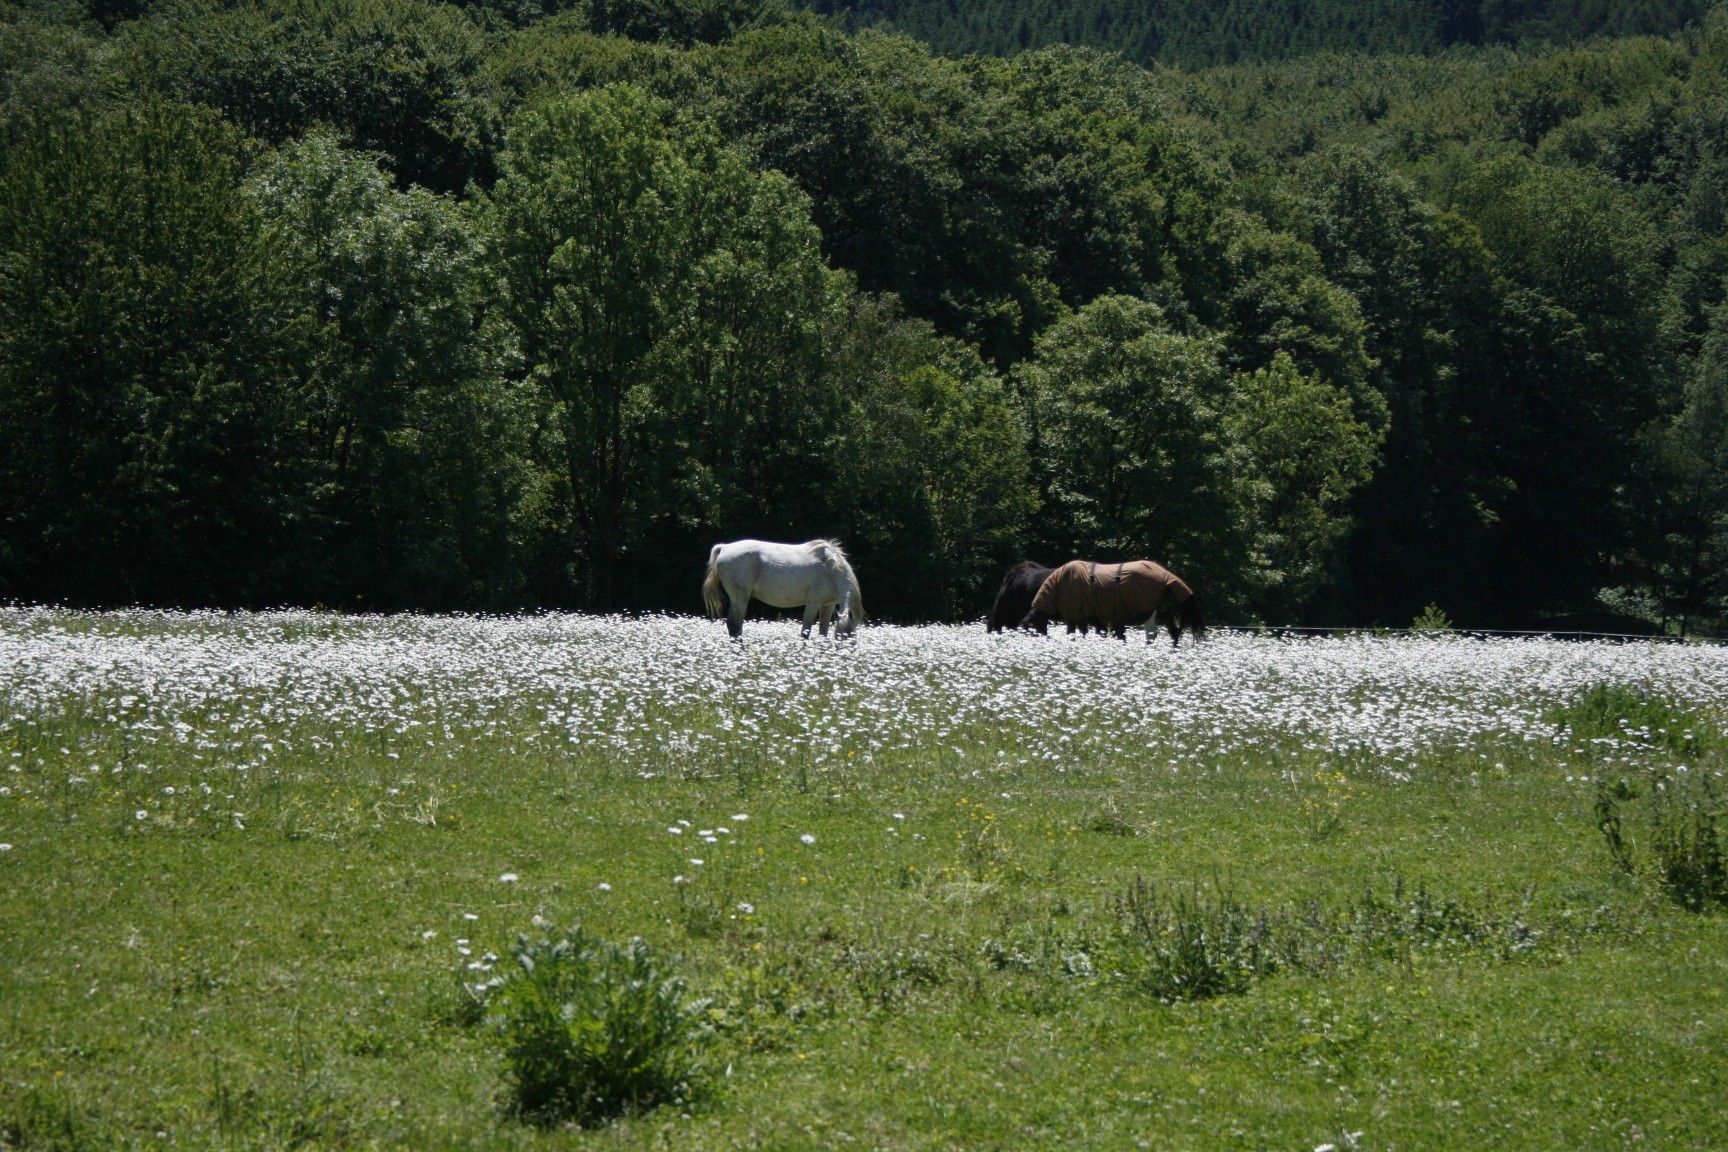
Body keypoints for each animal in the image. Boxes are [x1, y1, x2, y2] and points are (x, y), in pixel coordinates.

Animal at [702, 539, 865, 640]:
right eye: (844, 635)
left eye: (852, 635)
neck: (831, 569)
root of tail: (724, 547)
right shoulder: (813, 603)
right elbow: (805, 632)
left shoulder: (827, 605)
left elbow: (823, 633)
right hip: (739, 598)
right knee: (734, 626)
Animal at [1019, 559, 1207, 647]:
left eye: (1033, 628)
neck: (1062, 583)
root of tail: (1166, 575)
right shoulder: (1087, 618)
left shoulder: (1074, 616)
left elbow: (1072, 633)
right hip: (1164, 613)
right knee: (1174, 633)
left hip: (1149, 612)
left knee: (1152, 635)